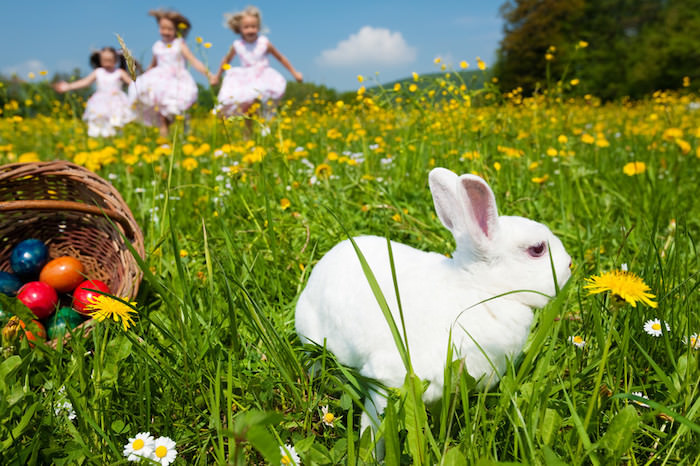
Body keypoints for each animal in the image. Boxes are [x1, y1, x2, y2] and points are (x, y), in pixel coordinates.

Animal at [292, 167, 572, 434]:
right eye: (537, 249)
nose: (570, 265)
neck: (477, 288)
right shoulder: (389, 379)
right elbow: (376, 422)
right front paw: (370, 446)